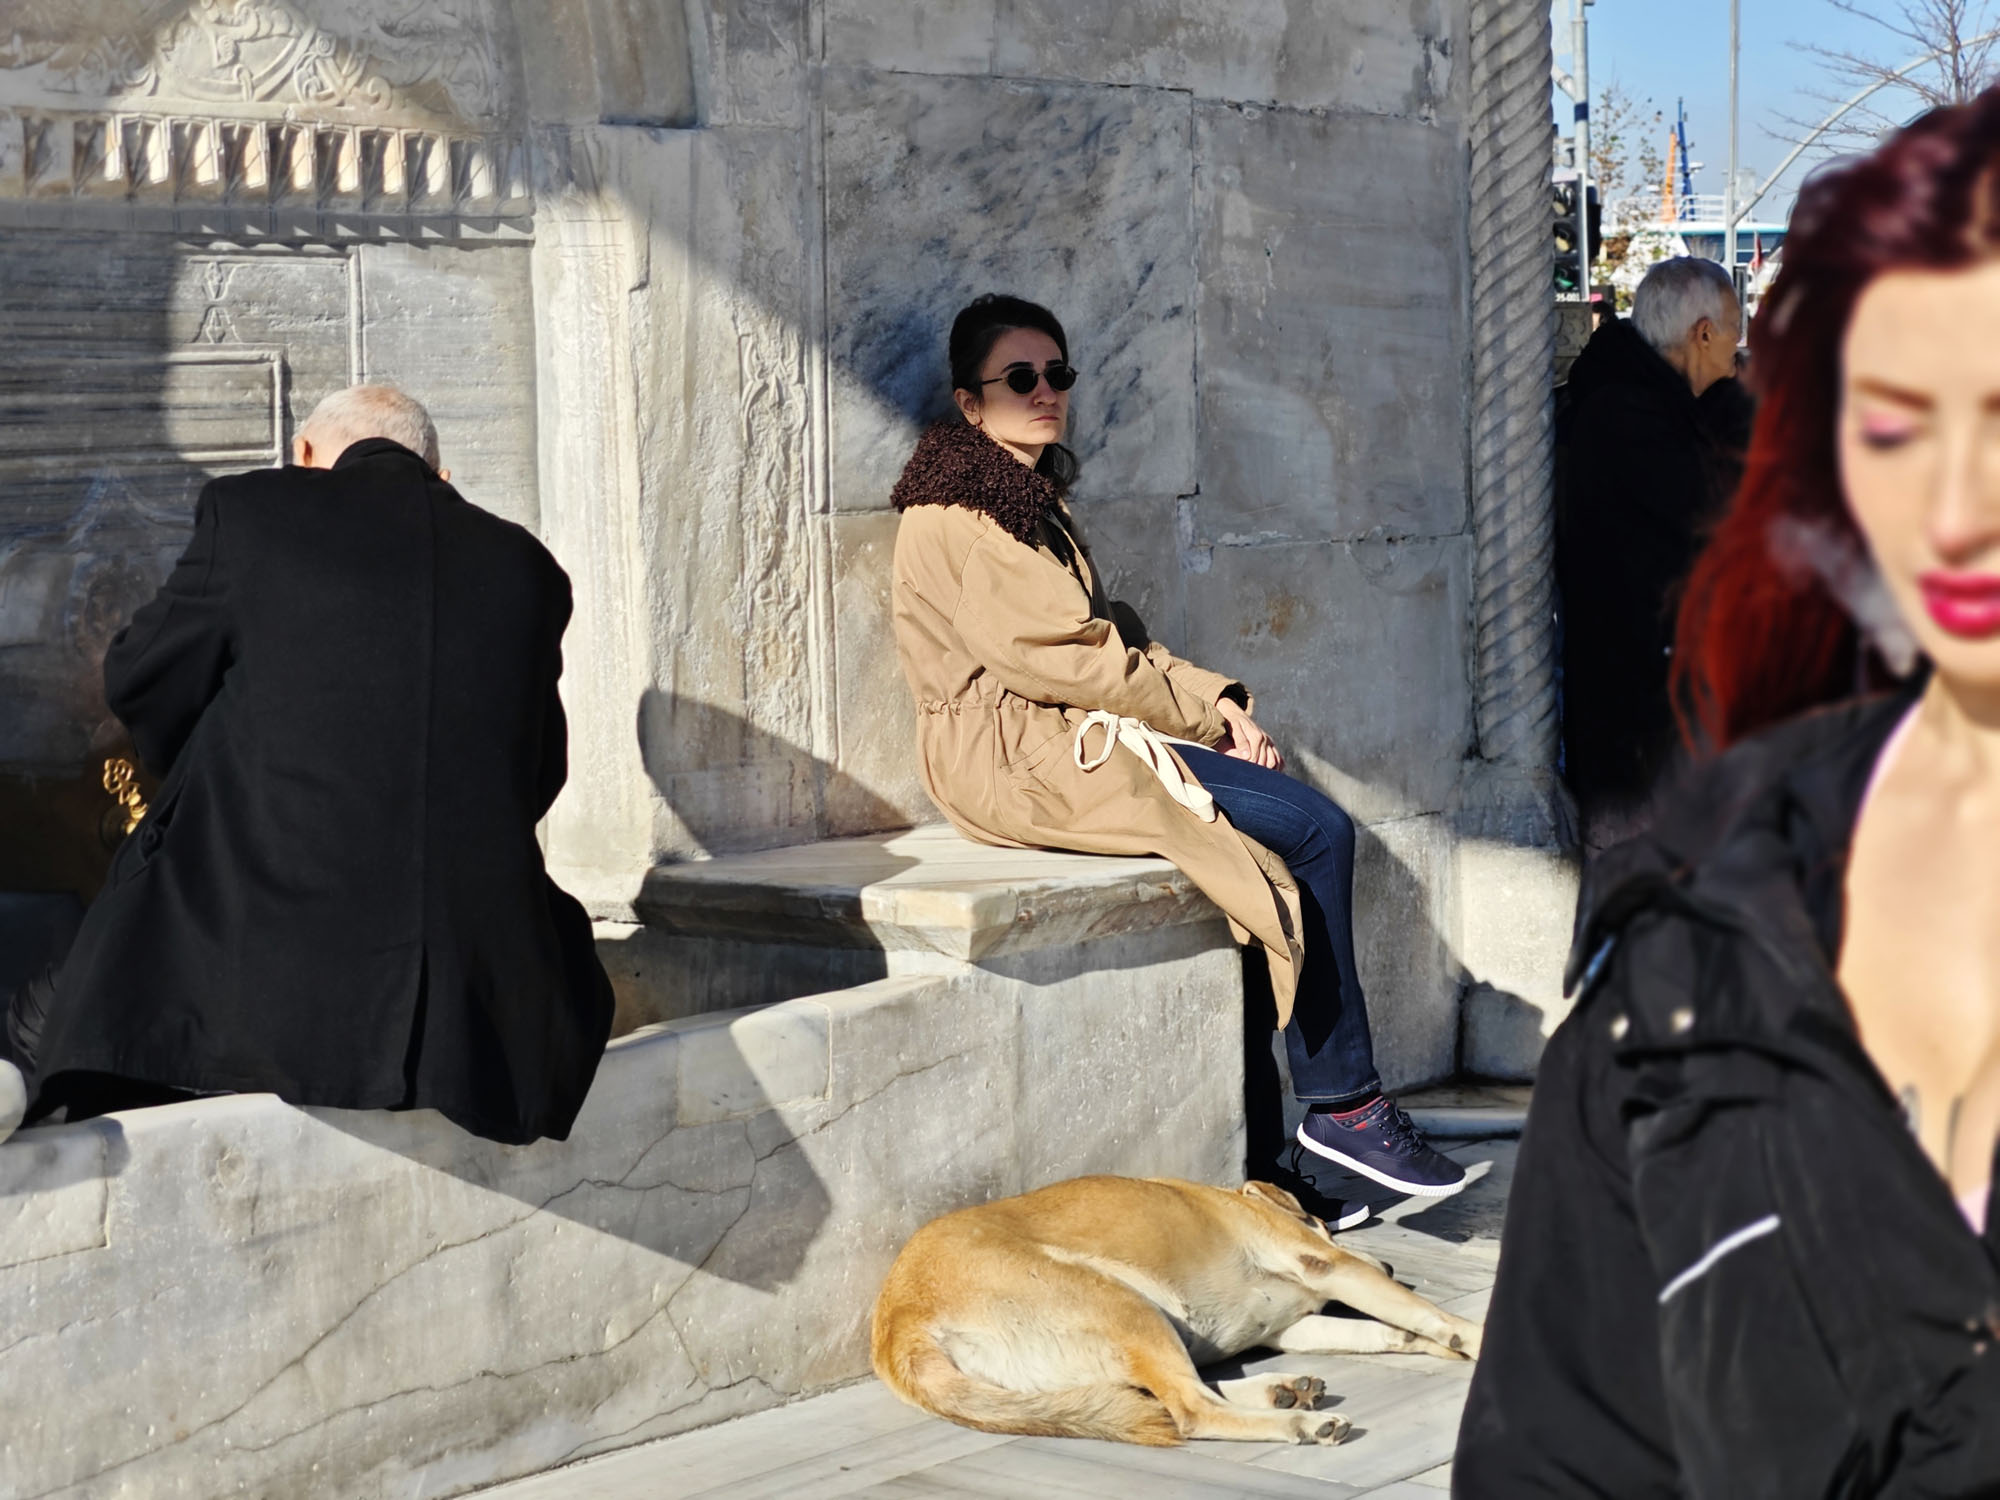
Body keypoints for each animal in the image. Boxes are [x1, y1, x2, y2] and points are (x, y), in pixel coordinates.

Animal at [871, 1174, 1483, 1447]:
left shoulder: (1294, 1328)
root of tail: (897, 1323)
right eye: (1317, 1223)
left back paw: (1282, 1390)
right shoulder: (1323, 1264)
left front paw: (1430, 1343)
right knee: (1190, 1409)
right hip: (1124, 1304)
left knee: (1165, 1394)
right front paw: (1470, 1338)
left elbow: (1388, 1330)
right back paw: (1299, 1420)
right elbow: (1425, 1313)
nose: (1390, 1266)